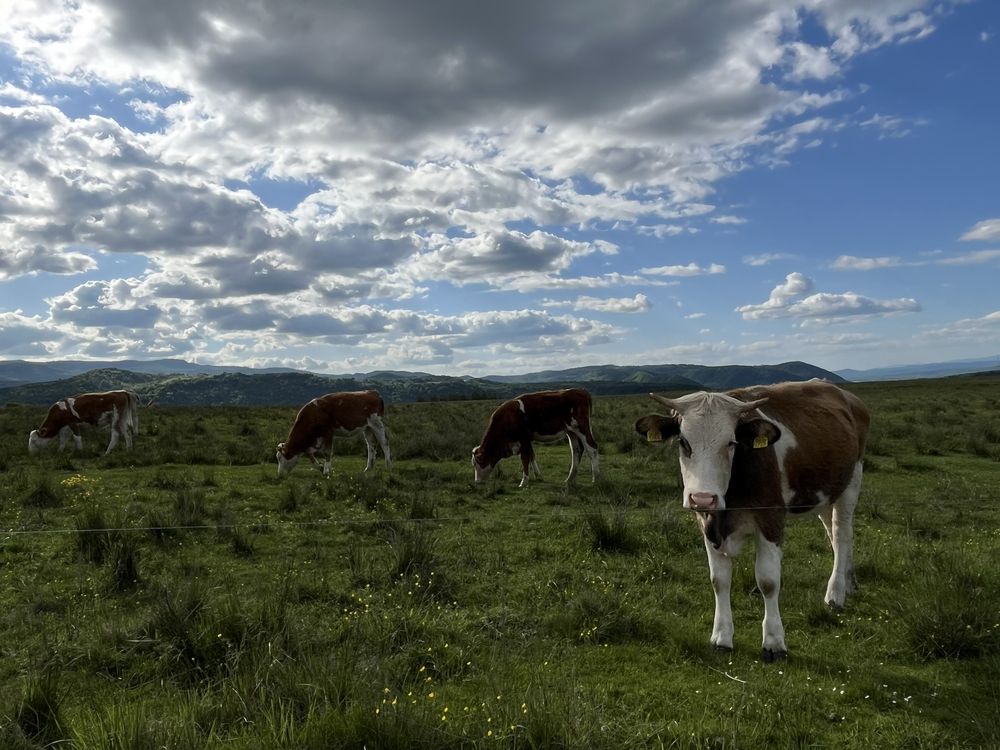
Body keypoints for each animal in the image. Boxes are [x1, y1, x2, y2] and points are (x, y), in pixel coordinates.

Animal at [636, 382, 872, 664]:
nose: (702, 497)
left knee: (842, 535)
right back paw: (849, 582)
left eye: (731, 442)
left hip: (851, 483)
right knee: (834, 536)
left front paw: (774, 642)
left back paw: (836, 592)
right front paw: (722, 637)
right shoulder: (707, 523)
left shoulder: (771, 520)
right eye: (683, 442)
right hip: (826, 493)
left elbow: (768, 582)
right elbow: (719, 580)